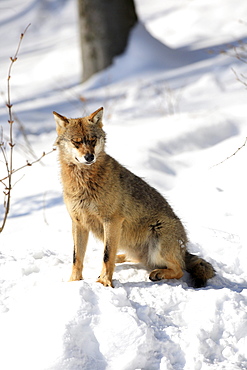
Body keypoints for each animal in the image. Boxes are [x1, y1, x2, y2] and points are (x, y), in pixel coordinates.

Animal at [53, 108, 214, 288]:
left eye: (92, 140)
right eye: (76, 142)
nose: (89, 157)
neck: (83, 181)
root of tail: (184, 248)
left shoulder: (112, 221)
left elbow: (106, 255)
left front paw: (104, 282)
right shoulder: (78, 222)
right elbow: (77, 257)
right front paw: (73, 282)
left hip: (157, 244)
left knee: (179, 269)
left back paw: (158, 273)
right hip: (130, 244)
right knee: (133, 257)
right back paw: (120, 258)